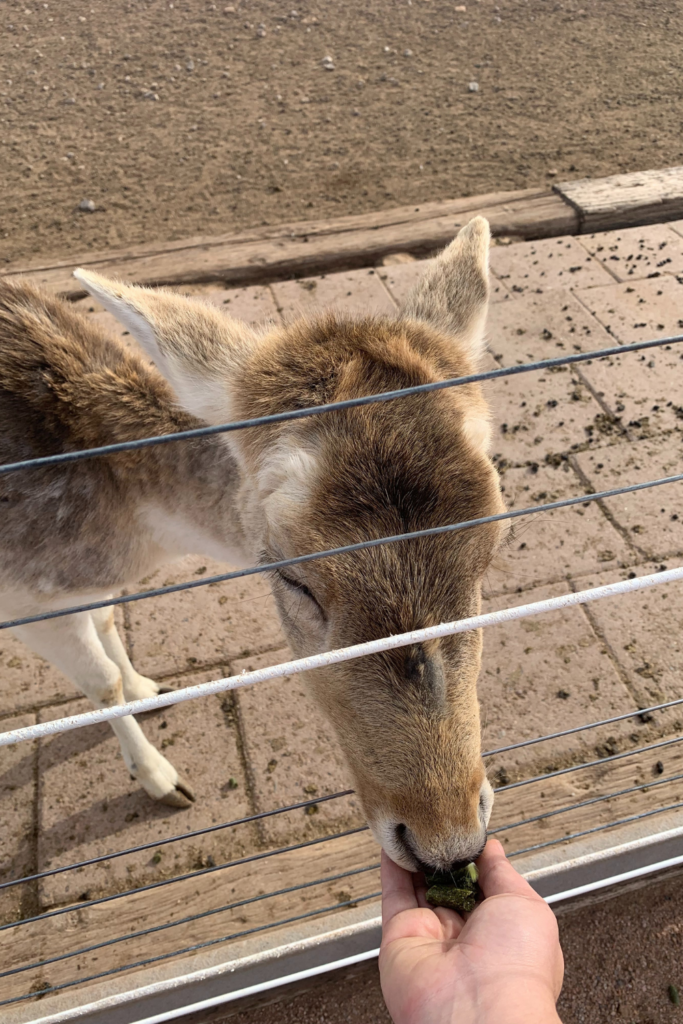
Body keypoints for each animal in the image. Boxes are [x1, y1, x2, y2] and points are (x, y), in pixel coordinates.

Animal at [0, 218, 507, 872]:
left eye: (489, 552)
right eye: (294, 578)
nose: (446, 842)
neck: (130, 534)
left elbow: (110, 625)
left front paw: (149, 690)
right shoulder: (25, 601)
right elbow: (100, 682)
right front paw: (164, 780)